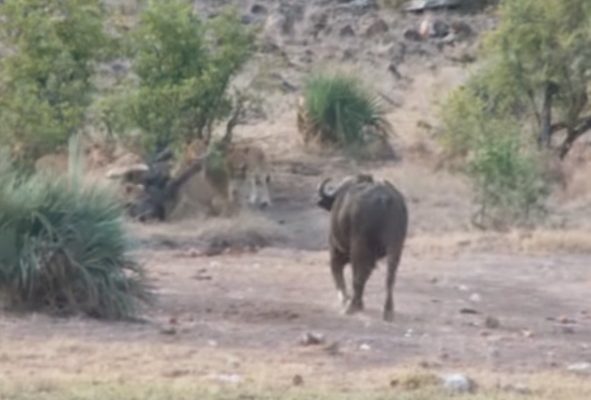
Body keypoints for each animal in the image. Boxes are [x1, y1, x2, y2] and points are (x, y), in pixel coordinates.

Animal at [320, 174, 408, 322]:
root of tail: (384, 200)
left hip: (358, 247)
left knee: (358, 276)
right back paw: (388, 311)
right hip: (396, 246)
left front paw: (347, 300)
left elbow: (340, 274)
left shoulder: (336, 251)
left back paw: (351, 307)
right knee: (390, 277)